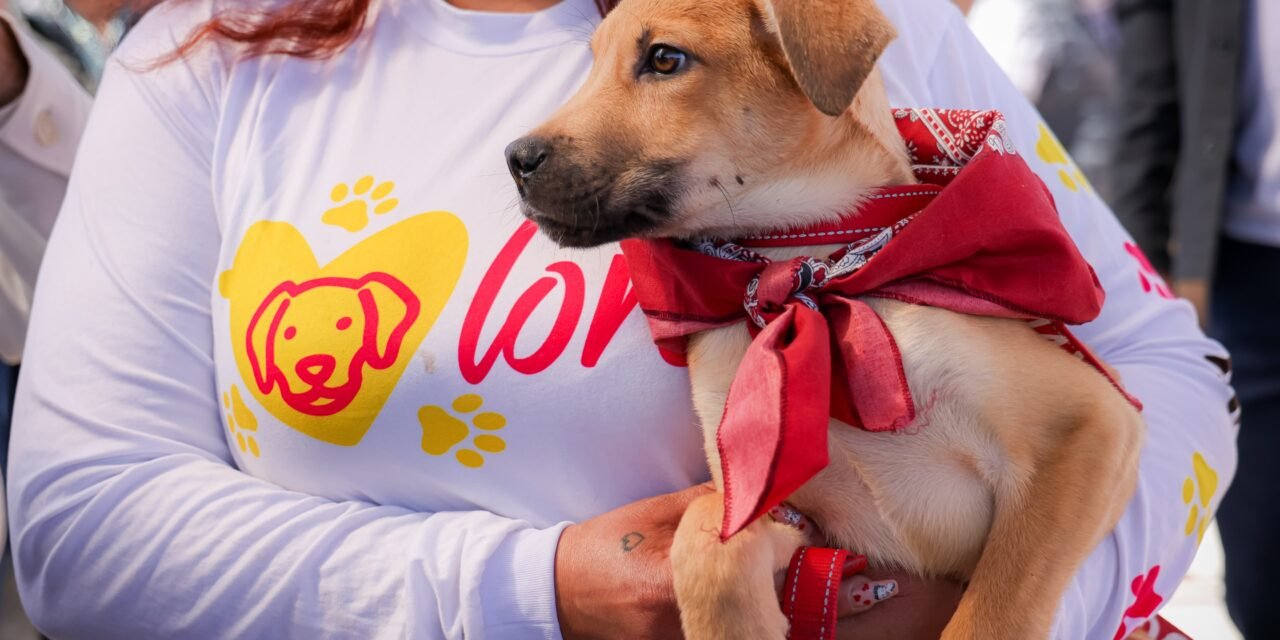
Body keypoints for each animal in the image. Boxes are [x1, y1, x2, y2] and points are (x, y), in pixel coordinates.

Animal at [504, 2, 1146, 637]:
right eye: (593, 62)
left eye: (665, 58)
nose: (516, 159)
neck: (806, 272)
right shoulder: (774, 499)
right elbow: (708, 539)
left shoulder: (1089, 425)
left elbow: (992, 612)